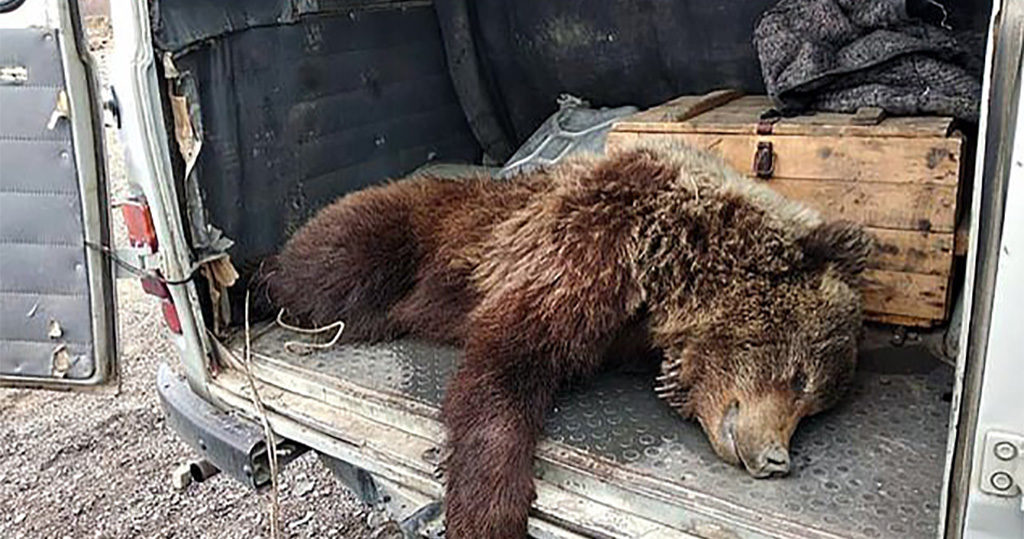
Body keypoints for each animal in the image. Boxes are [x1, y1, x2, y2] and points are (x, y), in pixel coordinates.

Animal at [264, 141, 872, 536]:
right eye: (800, 379)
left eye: (815, 406)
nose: (775, 459)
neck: (670, 264)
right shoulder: (588, 241)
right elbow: (509, 361)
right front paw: (488, 509)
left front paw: (674, 378)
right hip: (401, 232)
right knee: (324, 270)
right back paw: (262, 281)